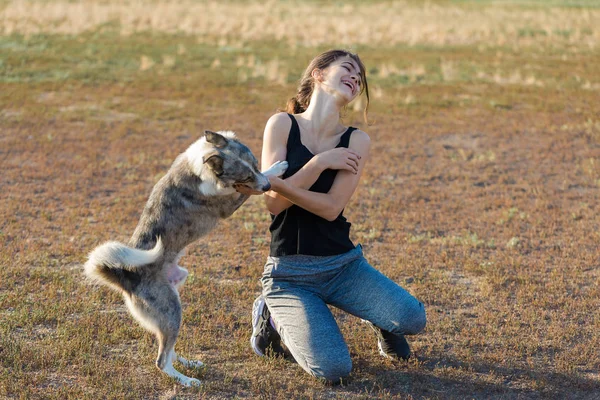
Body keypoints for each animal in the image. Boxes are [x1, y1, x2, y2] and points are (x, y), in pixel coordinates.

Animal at [84, 130, 288, 384]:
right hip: (172, 313)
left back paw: (188, 363)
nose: (268, 186)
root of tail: (126, 277)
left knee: (168, 350)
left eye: (255, 166)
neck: (202, 164)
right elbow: (246, 190)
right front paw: (278, 168)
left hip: (173, 305)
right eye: (246, 176)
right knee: (161, 361)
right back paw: (188, 381)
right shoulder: (230, 203)